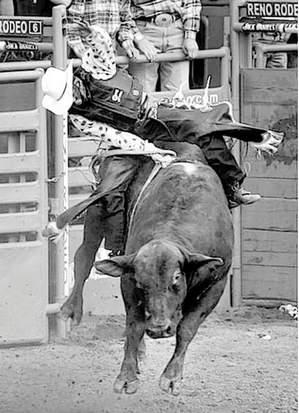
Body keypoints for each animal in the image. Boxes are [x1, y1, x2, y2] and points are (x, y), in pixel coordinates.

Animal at [95, 142, 233, 396]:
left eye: (177, 277)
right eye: (141, 281)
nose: (159, 329)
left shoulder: (217, 283)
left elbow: (187, 328)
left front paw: (172, 376)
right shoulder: (127, 282)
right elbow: (134, 326)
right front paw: (127, 376)